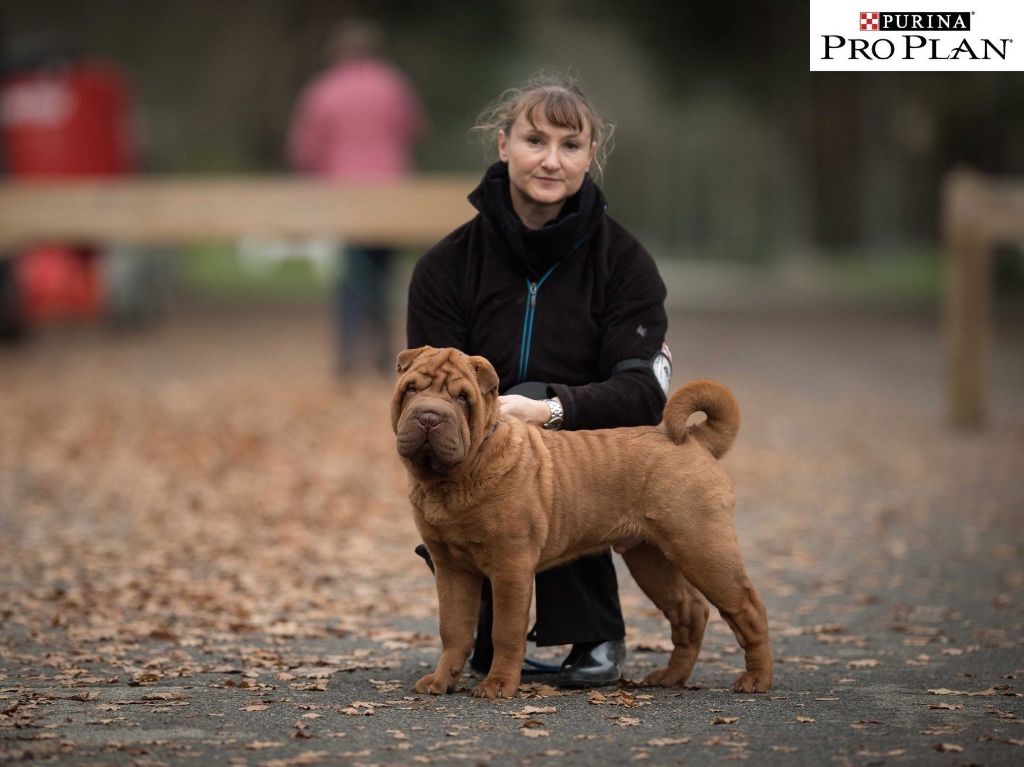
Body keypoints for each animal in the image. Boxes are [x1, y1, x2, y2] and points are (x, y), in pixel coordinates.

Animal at [387, 346, 770, 700]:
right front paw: (441, 681)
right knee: (690, 611)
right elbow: (453, 630)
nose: (429, 417)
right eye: (411, 389)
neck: (451, 482)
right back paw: (670, 676)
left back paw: (756, 679)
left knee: (746, 608)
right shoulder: (451, 569)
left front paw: (498, 685)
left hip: (702, 548)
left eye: (463, 398)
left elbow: (505, 631)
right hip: (651, 559)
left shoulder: (510, 567)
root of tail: (693, 438)